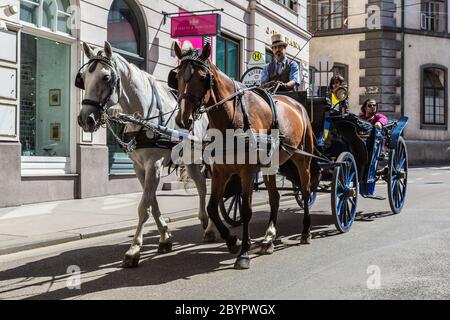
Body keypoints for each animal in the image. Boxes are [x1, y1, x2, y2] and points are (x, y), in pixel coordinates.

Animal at [76, 42, 216, 268]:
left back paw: (210, 225)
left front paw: (134, 250)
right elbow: (152, 202)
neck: (143, 116)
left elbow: (143, 207)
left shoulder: (154, 163)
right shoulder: (139, 167)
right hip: (191, 159)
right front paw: (165, 237)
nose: (85, 119)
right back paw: (204, 220)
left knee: (213, 188)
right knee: (202, 185)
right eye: (83, 78)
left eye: (106, 77)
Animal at [172, 41, 320, 268]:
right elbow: (212, 208)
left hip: (302, 158)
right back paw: (269, 238)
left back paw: (305, 231)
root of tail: (298, 106)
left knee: (305, 192)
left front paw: (243, 253)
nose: (183, 119)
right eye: (178, 75)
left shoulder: (247, 171)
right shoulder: (220, 170)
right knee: (275, 198)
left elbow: (246, 210)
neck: (232, 116)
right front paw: (233, 241)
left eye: (203, 77)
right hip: (271, 166)